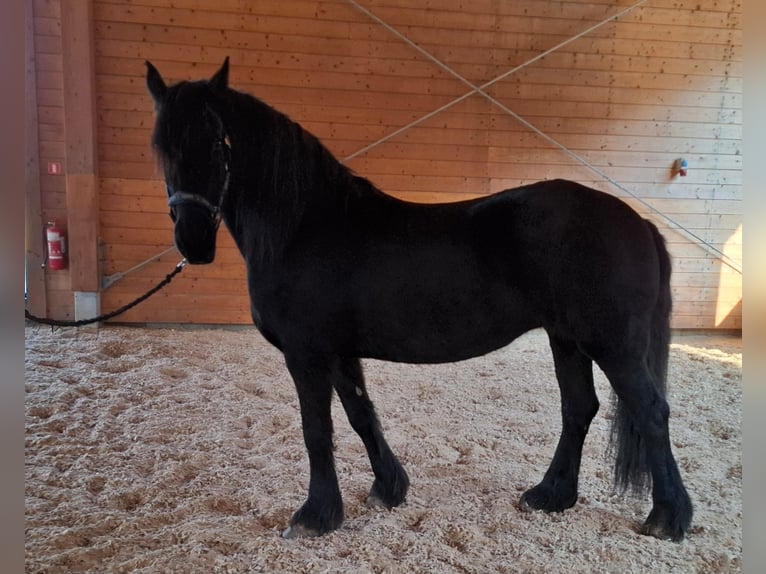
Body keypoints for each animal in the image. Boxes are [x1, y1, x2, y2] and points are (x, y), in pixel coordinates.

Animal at [145, 57, 692, 542]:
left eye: (219, 142)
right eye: (160, 148)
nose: (193, 241)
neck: (304, 227)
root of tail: (638, 222)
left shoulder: (307, 354)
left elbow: (316, 429)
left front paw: (316, 516)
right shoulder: (338, 352)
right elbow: (360, 415)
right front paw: (388, 489)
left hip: (612, 344)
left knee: (650, 411)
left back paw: (668, 518)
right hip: (568, 339)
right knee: (579, 408)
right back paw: (551, 495)